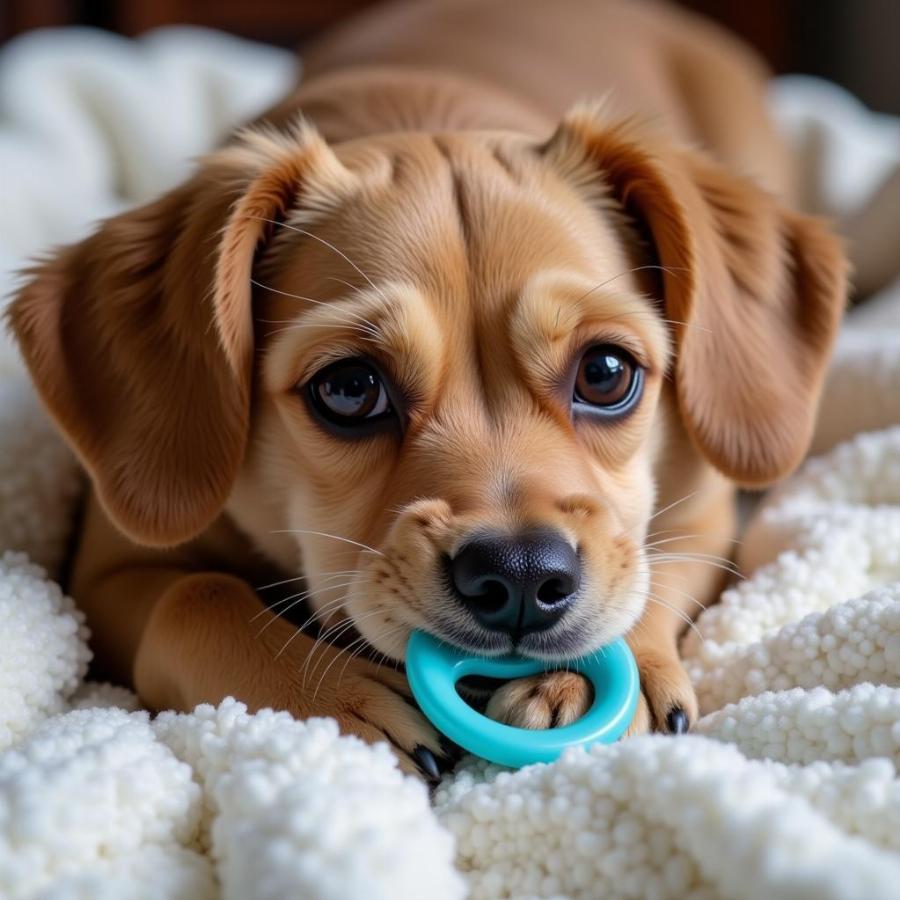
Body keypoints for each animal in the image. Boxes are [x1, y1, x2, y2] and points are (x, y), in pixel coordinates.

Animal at [5, 0, 844, 772]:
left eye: (606, 373)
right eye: (349, 388)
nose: (520, 574)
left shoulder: (707, 512)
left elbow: (649, 569)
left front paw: (578, 682)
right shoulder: (103, 573)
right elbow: (196, 597)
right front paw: (335, 702)